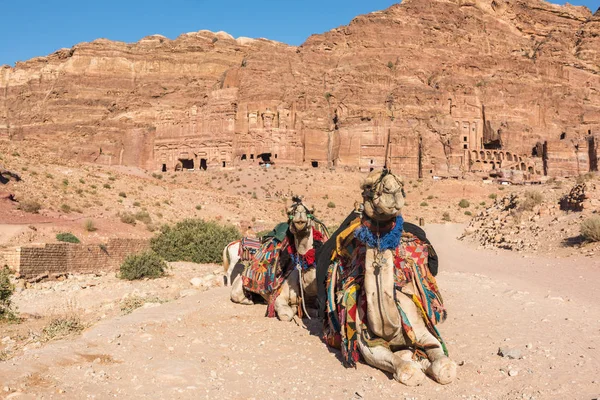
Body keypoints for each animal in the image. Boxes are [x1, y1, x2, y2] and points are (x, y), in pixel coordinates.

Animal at [324, 170, 454, 386]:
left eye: (401, 183)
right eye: (367, 185)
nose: (391, 190)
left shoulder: (424, 332)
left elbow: (444, 365)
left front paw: (428, 362)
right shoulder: (368, 346)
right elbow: (407, 368)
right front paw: (415, 363)